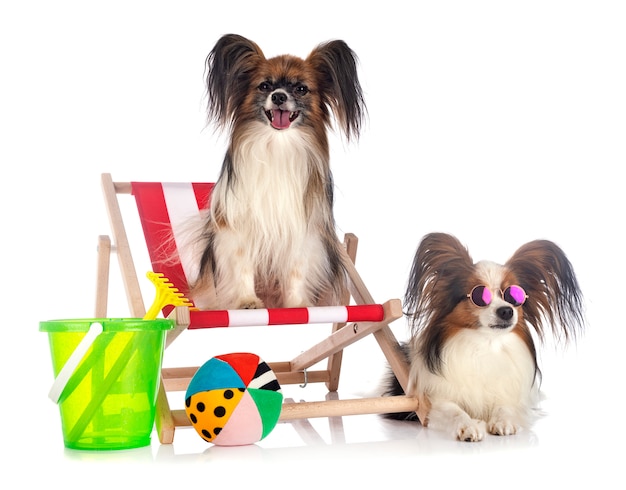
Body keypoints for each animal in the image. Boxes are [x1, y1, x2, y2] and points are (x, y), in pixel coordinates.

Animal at [190, 33, 366, 310]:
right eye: (264, 86)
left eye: (301, 88)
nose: (279, 96)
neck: (277, 144)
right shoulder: (238, 227)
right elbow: (242, 265)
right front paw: (247, 301)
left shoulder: (302, 230)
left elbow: (296, 270)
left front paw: (296, 305)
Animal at [382, 232, 584, 442]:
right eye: (479, 296)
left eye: (514, 296)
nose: (507, 311)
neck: (485, 344)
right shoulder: (435, 402)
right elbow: (455, 411)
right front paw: (468, 426)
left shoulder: (510, 396)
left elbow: (505, 406)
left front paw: (503, 422)